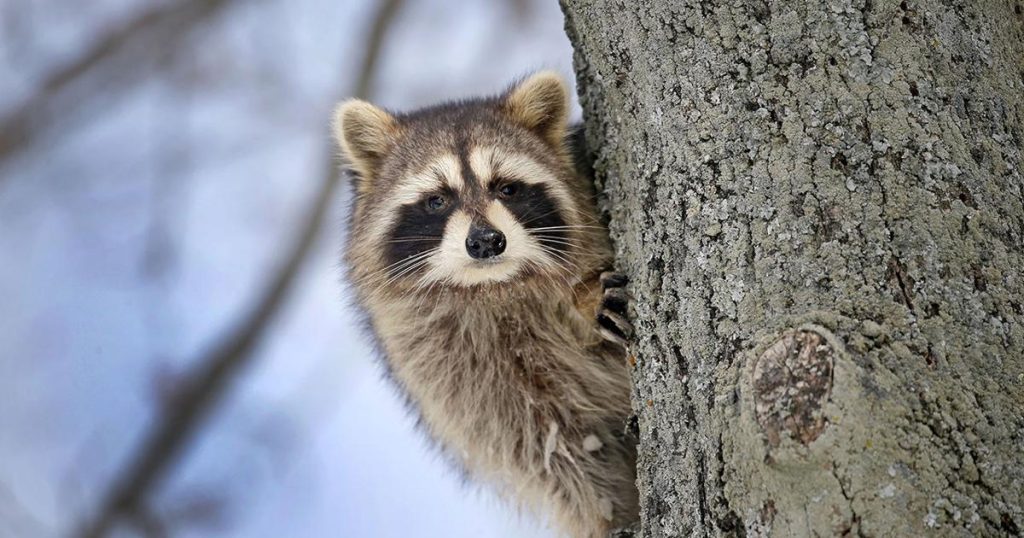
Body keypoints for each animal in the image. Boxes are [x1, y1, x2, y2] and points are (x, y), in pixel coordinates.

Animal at [333, 71, 638, 538]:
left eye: (507, 188)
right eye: (437, 199)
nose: (486, 242)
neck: (496, 288)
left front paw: (585, 298)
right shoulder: (454, 368)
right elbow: (552, 451)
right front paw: (607, 514)